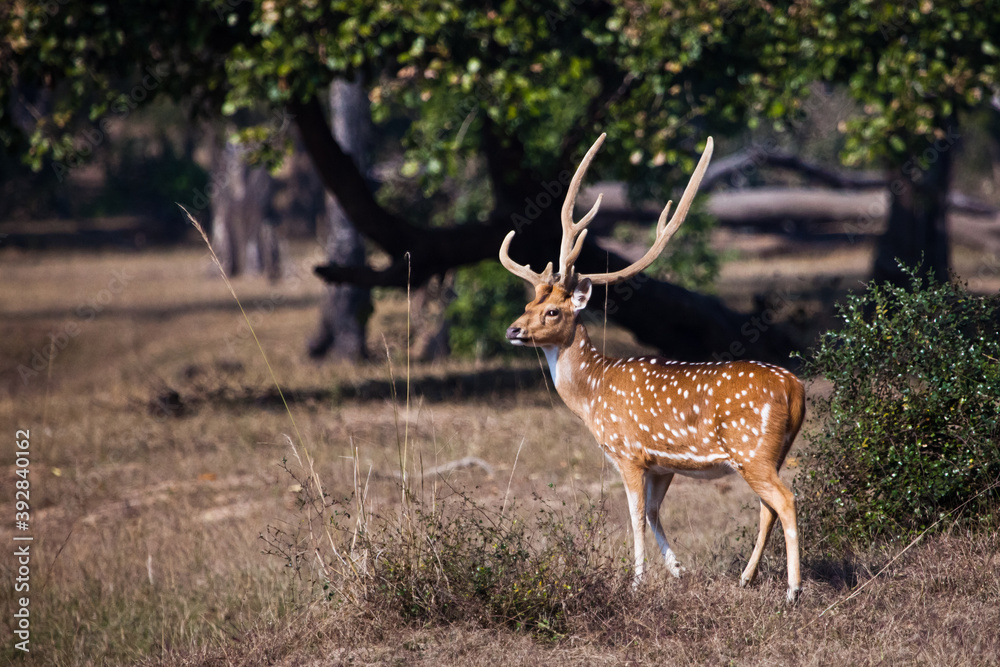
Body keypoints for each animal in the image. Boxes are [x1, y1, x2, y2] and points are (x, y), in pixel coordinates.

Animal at [499, 134, 806, 602]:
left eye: (553, 311)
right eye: (528, 304)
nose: (513, 329)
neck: (593, 393)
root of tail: (796, 390)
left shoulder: (628, 452)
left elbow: (635, 516)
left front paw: (637, 581)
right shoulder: (662, 465)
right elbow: (655, 514)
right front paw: (678, 570)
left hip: (751, 449)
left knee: (785, 501)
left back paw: (792, 590)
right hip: (770, 452)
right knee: (767, 508)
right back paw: (745, 577)